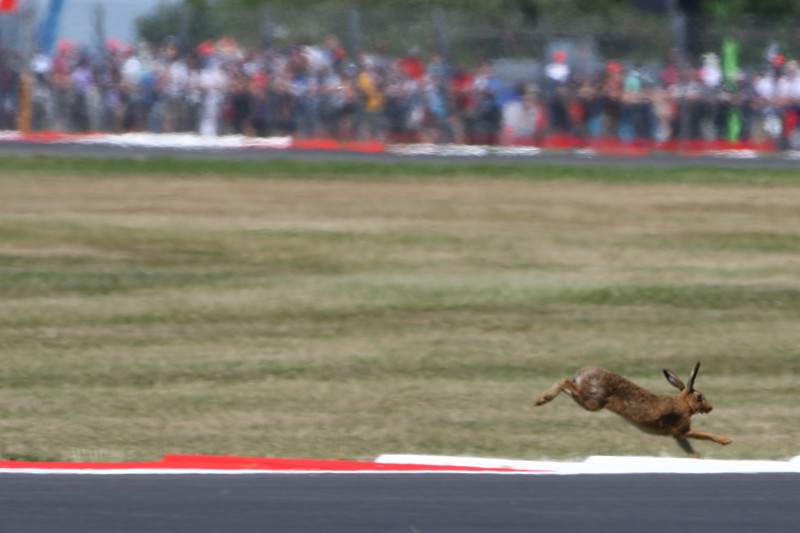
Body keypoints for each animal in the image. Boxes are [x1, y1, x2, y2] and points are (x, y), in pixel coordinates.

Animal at [535, 362, 732, 457]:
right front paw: (726, 440)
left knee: (566, 383)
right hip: (593, 402)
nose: (710, 407)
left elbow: (690, 450)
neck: (685, 404)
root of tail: (582, 374)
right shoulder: (683, 429)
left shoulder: (678, 436)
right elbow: (705, 435)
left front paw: (699, 458)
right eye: (699, 396)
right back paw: (542, 399)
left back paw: (540, 399)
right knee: (565, 382)